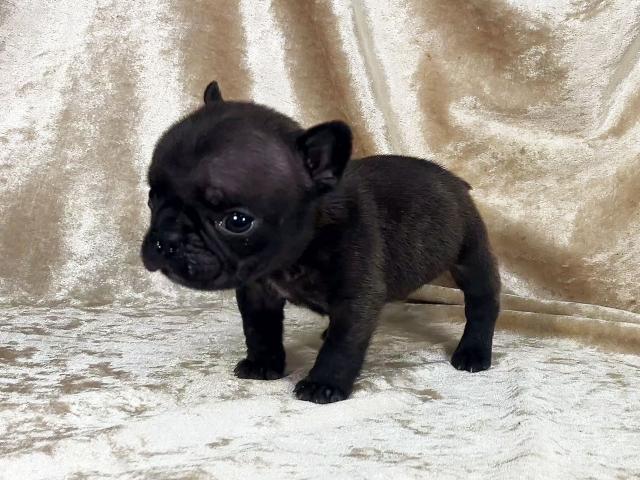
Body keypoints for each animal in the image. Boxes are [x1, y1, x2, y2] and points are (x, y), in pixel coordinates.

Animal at [141, 81, 501, 404]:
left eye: (236, 221)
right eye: (152, 197)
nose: (167, 239)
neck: (295, 254)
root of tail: (454, 180)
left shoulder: (357, 297)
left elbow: (343, 345)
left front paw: (323, 384)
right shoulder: (258, 293)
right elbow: (259, 330)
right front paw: (264, 363)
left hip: (470, 254)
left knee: (482, 301)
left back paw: (473, 351)